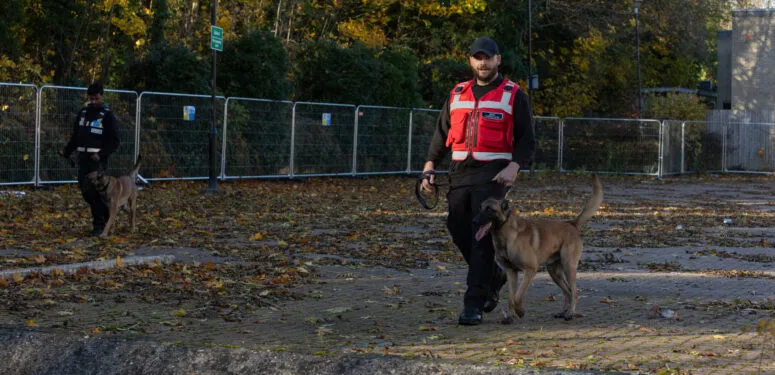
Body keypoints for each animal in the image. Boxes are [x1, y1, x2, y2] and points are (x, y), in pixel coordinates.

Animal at [472, 176, 608, 324]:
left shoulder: (530, 270)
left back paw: (570, 313)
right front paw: (510, 316)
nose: (474, 221)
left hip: (569, 267)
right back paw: (563, 312)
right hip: (554, 272)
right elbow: (511, 298)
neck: (506, 236)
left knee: (574, 292)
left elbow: (517, 297)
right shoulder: (511, 272)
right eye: (480, 208)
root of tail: (571, 224)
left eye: (489, 209)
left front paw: (520, 311)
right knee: (567, 291)